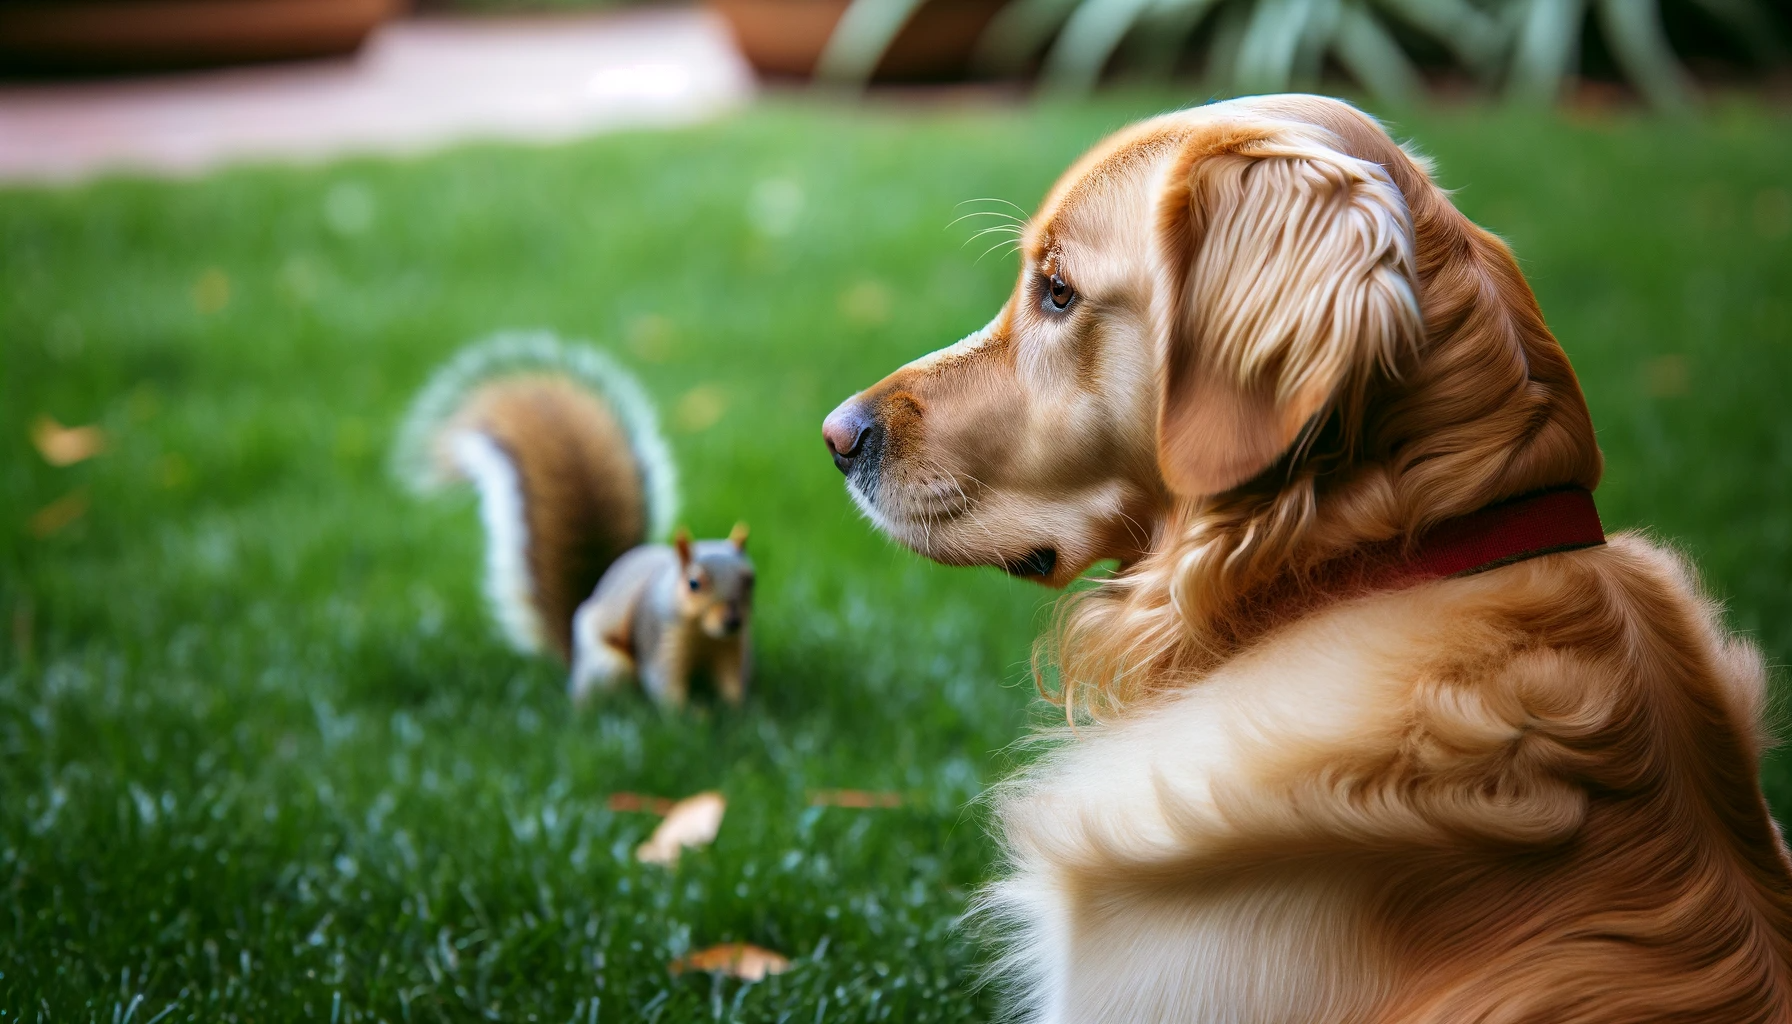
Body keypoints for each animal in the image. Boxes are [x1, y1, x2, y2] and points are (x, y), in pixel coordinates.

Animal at [396, 331, 752, 710]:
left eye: (750, 580)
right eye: (694, 583)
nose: (732, 619)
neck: (707, 638)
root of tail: (574, 661)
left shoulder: (736, 648)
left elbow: (734, 681)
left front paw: (738, 711)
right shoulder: (659, 639)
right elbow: (665, 685)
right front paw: (691, 714)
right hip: (608, 667)